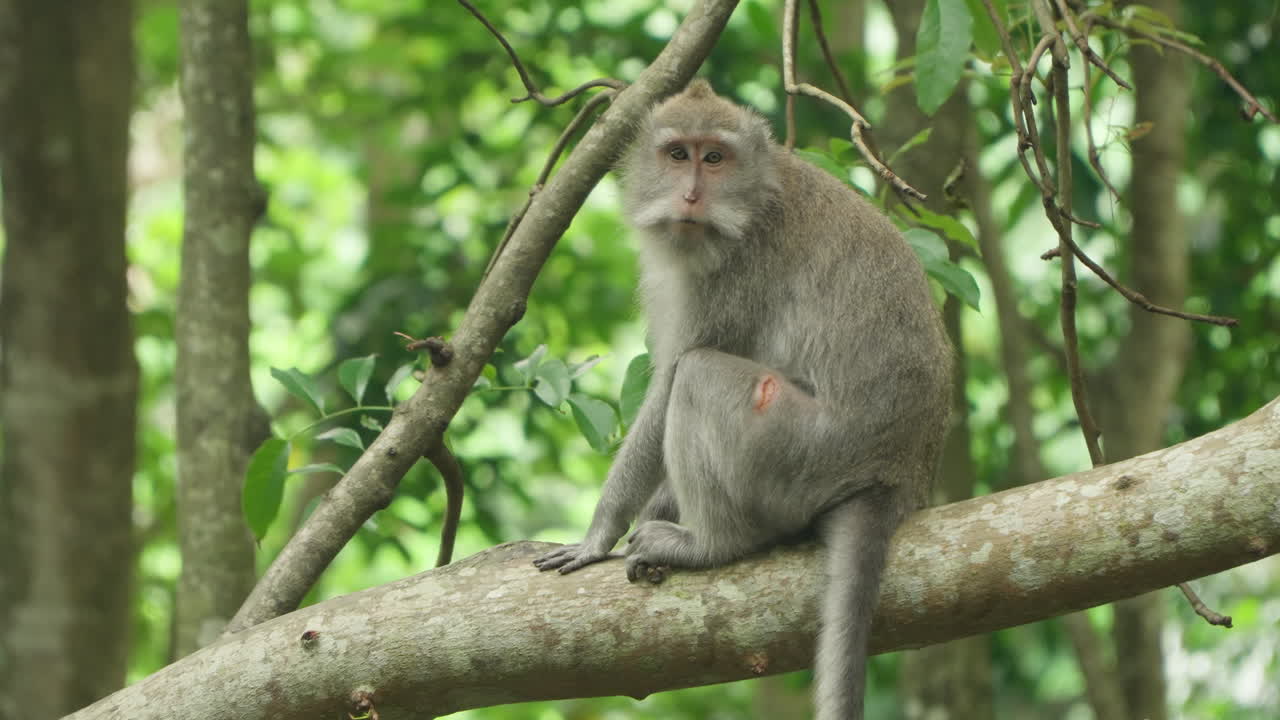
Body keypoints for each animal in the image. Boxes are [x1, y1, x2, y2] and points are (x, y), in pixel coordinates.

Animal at [533, 79, 951, 720]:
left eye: (715, 158)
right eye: (676, 154)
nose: (691, 195)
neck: (754, 198)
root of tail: (897, 475)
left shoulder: (735, 274)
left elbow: (671, 381)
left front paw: (597, 535)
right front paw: (650, 508)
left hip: (799, 449)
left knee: (700, 376)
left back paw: (710, 545)